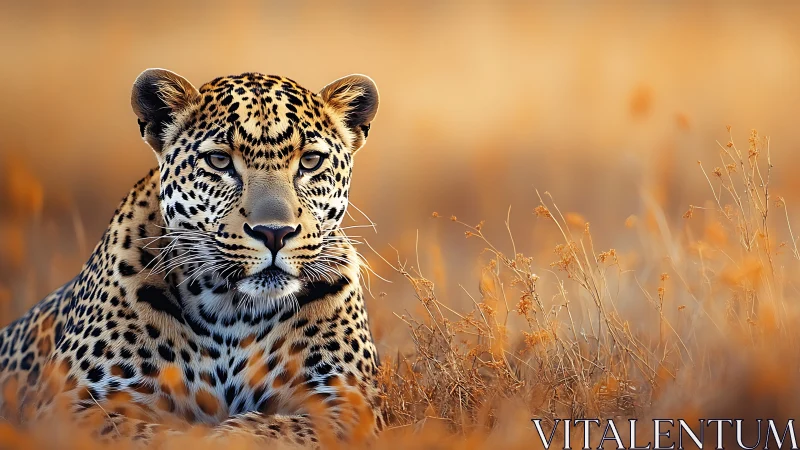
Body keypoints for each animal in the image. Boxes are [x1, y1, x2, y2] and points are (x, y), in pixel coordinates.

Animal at [0, 68, 383, 448]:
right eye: (219, 160)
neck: (232, 310)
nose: (274, 232)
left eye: (310, 161)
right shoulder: (70, 404)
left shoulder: (350, 403)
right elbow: (147, 433)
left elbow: (271, 429)